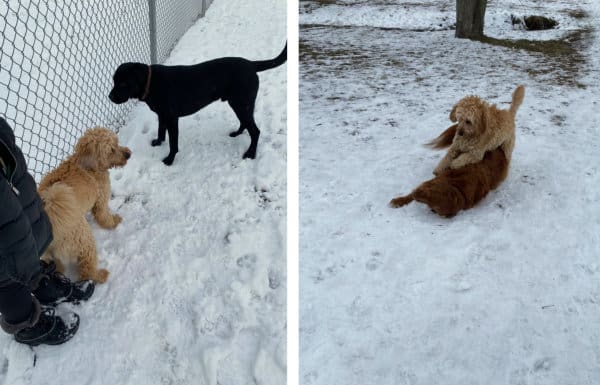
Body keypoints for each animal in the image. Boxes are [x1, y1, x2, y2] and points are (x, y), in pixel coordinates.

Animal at [38, 127, 131, 280]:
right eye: (111, 150)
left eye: (117, 142)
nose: (128, 154)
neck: (86, 165)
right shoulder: (101, 201)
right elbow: (104, 217)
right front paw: (114, 222)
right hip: (84, 240)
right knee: (87, 269)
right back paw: (100, 275)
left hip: (51, 258)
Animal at [110, 44, 288, 164]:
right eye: (114, 81)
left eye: (123, 84)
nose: (110, 97)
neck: (151, 83)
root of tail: (251, 64)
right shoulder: (162, 115)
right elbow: (161, 131)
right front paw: (158, 142)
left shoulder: (172, 119)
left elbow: (173, 143)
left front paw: (169, 159)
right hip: (239, 104)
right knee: (245, 124)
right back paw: (237, 133)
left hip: (242, 104)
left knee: (255, 131)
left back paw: (250, 153)